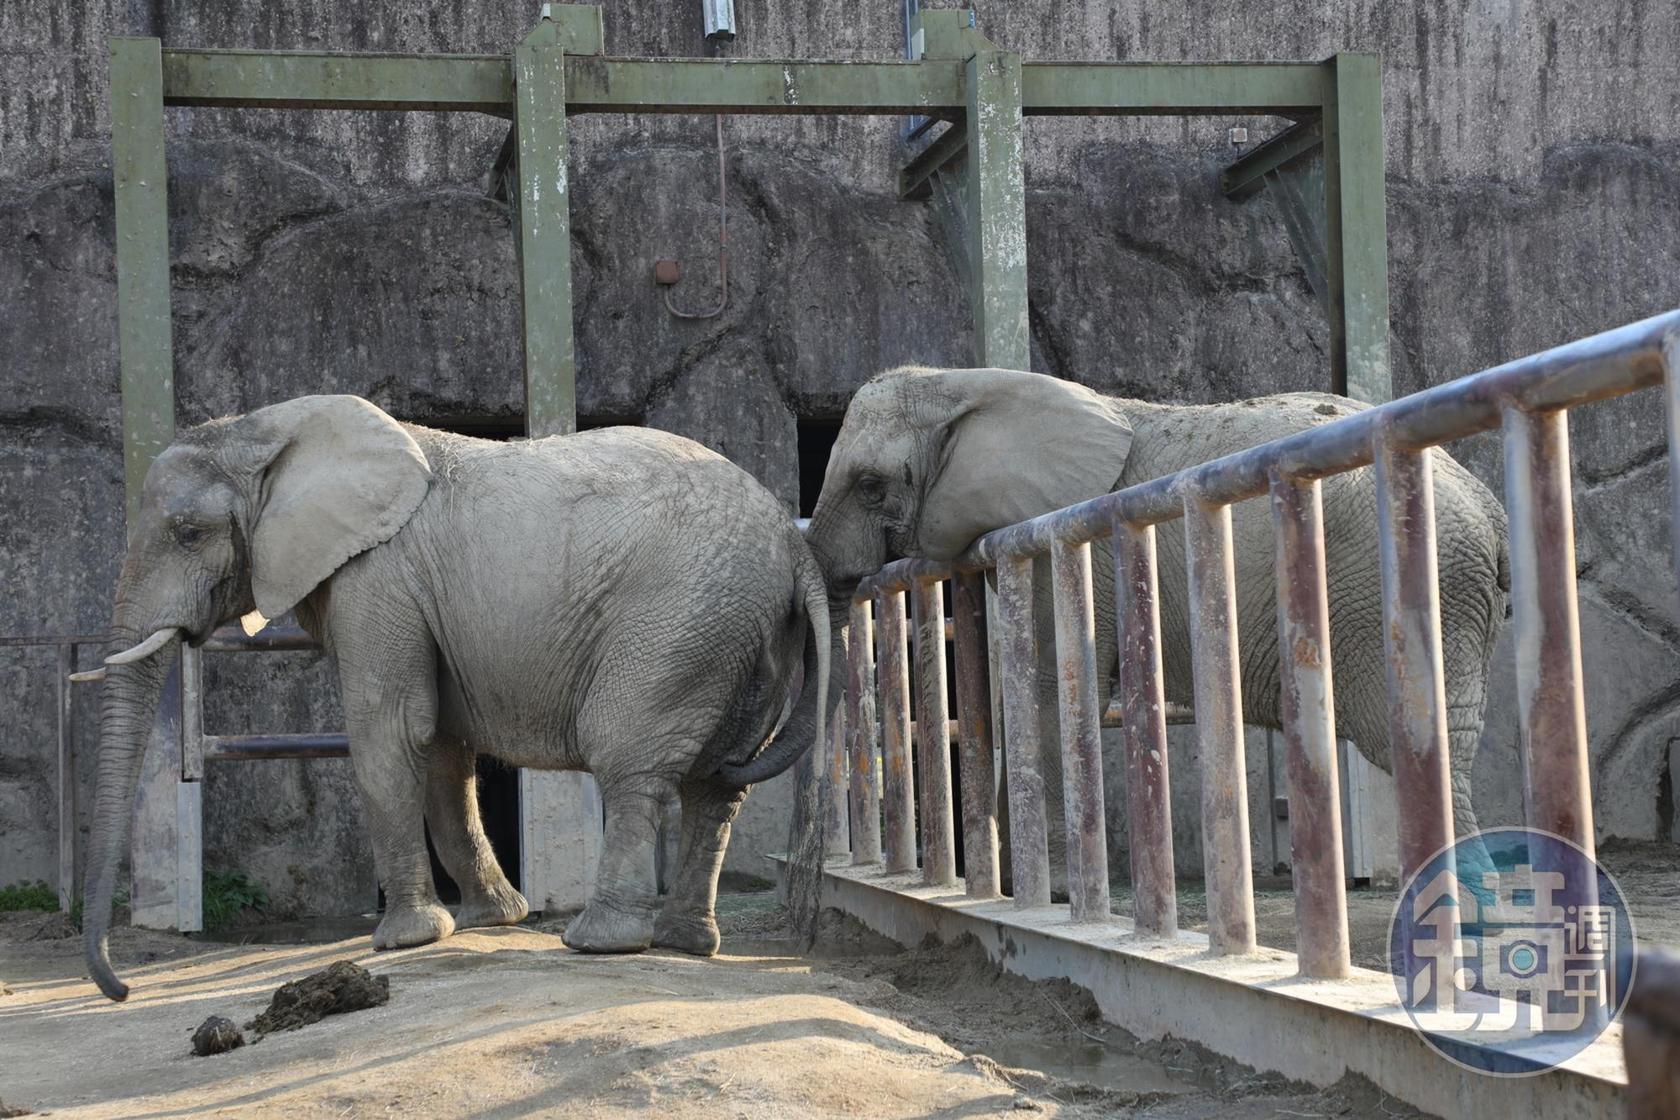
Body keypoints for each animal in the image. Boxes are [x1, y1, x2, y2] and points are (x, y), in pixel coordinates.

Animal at [79, 394, 827, 1001]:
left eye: (188, 534)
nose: (122, 990)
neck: (269, 428)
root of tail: (797, 551)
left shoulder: (376, 576)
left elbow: (389, 732)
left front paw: (404, 940)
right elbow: (440, 746)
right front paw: (491, 920)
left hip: (678, 624)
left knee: (631, 764)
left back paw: (597, 941)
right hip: (742, 635)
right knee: (718, 786)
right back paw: (685, 943)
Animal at [806, 366, 1509, 882]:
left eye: (870, 485)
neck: (967, 383)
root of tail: (1489, 508)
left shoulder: (1064, 545)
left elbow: (1049, 690)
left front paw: (1043, 891)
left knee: (1409, 741)